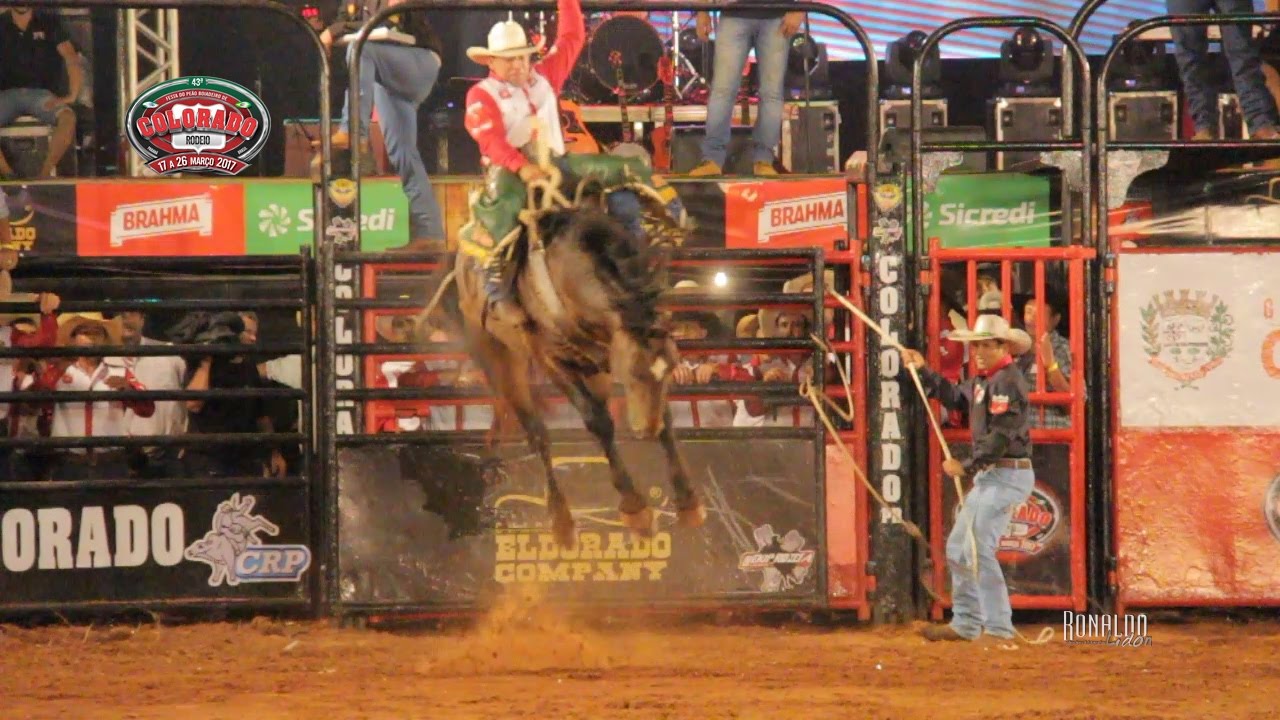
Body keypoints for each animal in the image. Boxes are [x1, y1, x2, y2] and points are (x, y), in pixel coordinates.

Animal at [419, 144, 706, 548]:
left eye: (669, 367)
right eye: (633, 374)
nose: (645, 430)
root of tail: (460, 262)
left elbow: (662, 414)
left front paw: (687, 501)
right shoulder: (552, 359)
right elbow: (598, 422)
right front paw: (635, 510)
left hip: (589, 367)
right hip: (500, 359)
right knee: (536, 433)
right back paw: (562, 522)